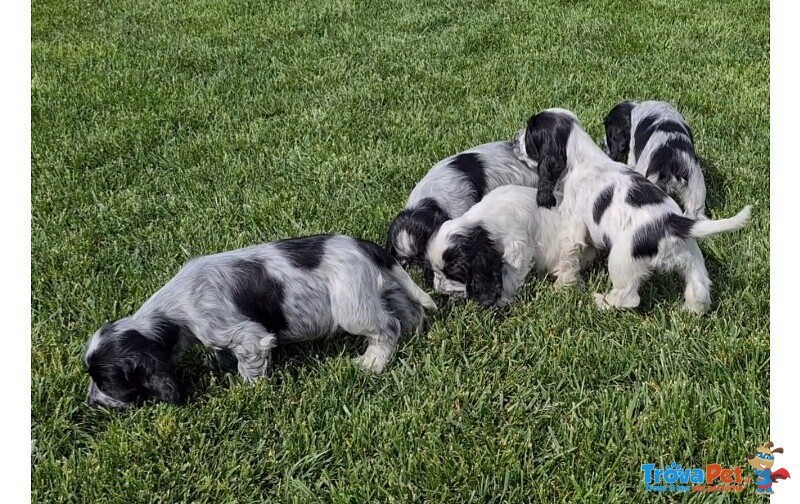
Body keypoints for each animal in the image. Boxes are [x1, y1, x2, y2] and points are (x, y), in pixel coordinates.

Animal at [84, 234, 438, 408]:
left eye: (108, 382)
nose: (91, 403)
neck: (173, 311)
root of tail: (367, 247)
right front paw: (221, 363)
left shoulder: (247, 335)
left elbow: (250, 363)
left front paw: (247, 390)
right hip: (381, 289)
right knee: (407, 309)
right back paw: (414, 331)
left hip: (353, 307)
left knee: (386, 328)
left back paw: (372, 363)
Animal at [428, 185, 592, 308]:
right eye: (436, 271)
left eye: (454, 274)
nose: (439, 291)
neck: (483, 223)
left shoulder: (516, 249)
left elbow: (509, 277)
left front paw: (501, 301)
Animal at [520, 109, 752, 314]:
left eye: (530, 131)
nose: (516, 139)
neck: (581, 157)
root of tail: (672, 223)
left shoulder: (573, 225)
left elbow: (569, 255)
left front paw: (562, 285)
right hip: (691, 255)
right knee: (700, 288)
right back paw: (690, 310)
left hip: (621, 260)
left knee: (630, 297)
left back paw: (603, 301)